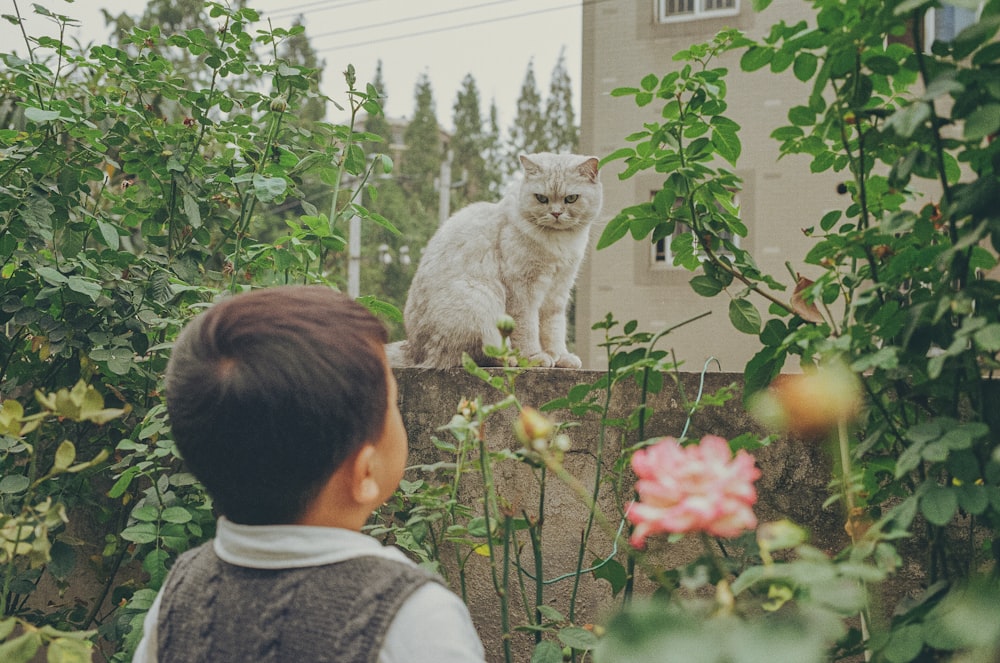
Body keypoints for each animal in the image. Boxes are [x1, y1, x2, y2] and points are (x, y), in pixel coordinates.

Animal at [394, 154, 600, 370]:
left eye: (571, 198)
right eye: (541, 198)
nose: (556, 214)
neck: (559, 242)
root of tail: (414, 352)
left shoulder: (557, 292)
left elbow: (554, 330)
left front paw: (560, 357)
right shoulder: (523, 291)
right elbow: (527, 330)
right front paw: (534, 357)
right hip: (481, 300)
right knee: (475, 357)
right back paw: (510, 359)